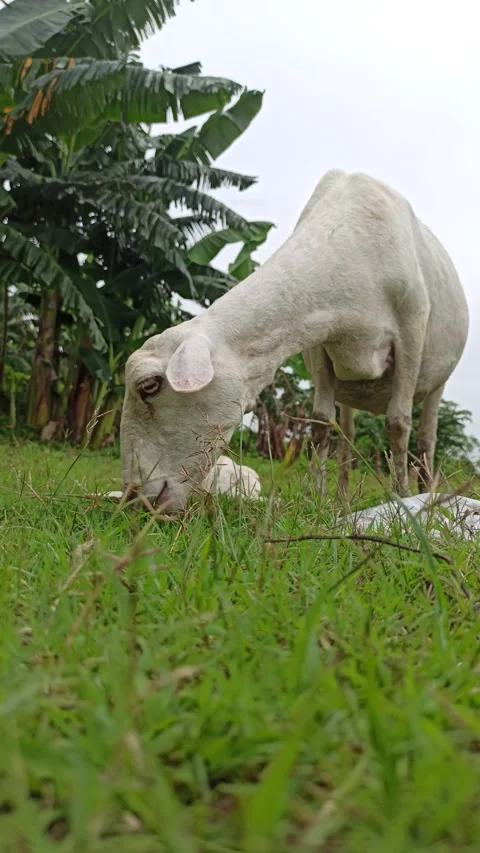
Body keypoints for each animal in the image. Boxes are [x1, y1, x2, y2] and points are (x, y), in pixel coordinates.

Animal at [121, 169, 469, 509]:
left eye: (149, 386)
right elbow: (321, 424)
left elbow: (398, 423)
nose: (134, 498)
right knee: (348, 434)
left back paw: (424, 491)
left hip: (437, 381)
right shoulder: (319, 343)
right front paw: (317, 498)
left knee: (426, 437)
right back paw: (343, 498)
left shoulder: (411, 332)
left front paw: (402, 498)